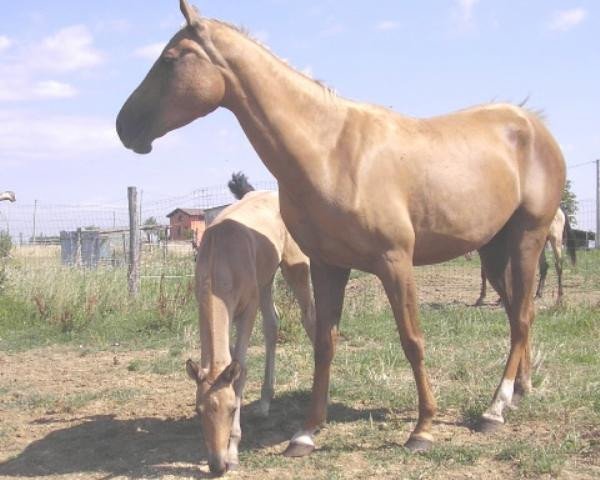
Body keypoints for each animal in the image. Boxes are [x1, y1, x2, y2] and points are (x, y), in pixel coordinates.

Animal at [185, 175, 314, 472]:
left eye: (232, 409)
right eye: (198, 410)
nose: (216, 464)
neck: (221, 256)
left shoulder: (247, 309)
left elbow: (240, 368)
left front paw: (233, 451)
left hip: (295, 268)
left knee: (311, 321)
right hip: (266, 281)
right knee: (273, 326)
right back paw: (265, 402)